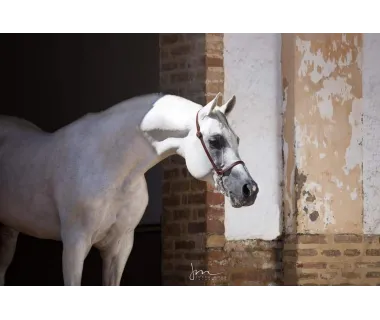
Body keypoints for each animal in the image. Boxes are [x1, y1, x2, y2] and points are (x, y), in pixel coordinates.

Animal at [0, 92, 258, 288]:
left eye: (237, 139)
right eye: (215, 140)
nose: (250, 190)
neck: (112, 168)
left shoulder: (120, 246)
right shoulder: (75, 244)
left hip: (9, 231)